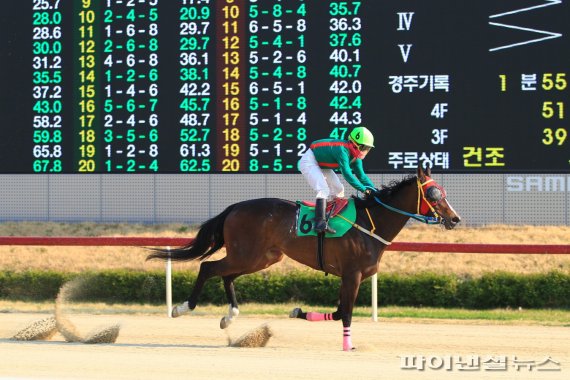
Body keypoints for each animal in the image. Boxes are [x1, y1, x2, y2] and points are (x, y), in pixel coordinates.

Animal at [146, 166, 458, 350]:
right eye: (433, 193)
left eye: (443, 192)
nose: (455, 219)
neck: (371, 224)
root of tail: (235, 207)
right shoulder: (352, 274)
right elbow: (345, 312)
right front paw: (348, 346)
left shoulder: (349, 277)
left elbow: (337, 311)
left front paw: (298, 312)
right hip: (247, 254)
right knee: (208, 267)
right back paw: (182, 308)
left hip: (260, 258)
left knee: (225, 274)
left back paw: (229, 316)